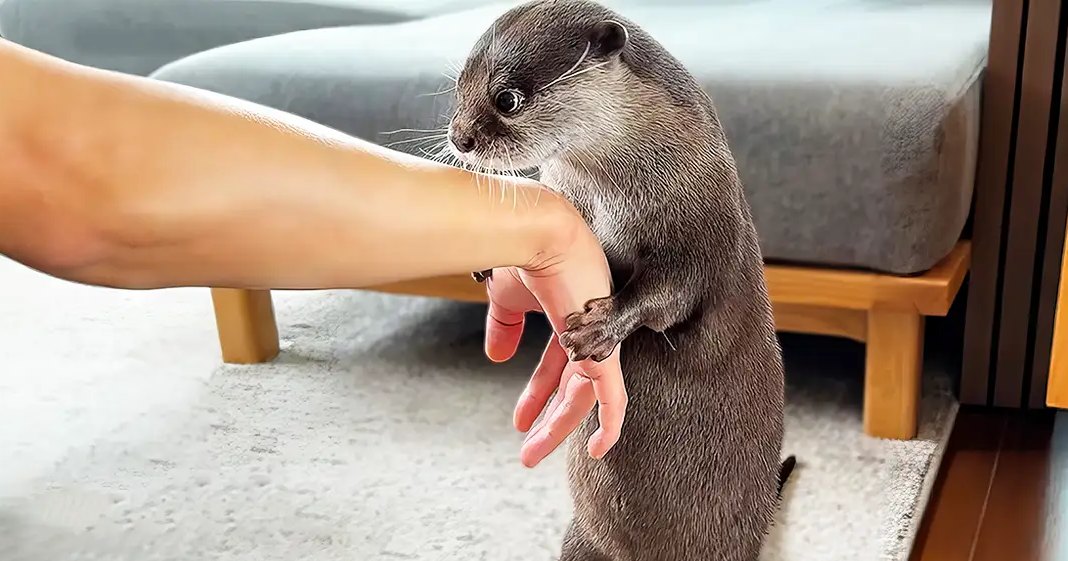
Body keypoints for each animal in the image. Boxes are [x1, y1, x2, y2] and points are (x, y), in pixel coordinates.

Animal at [449, 1, 792, 560]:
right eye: (459, 87)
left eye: (507, 99)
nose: (459, 138)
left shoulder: (700, 224)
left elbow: (671, 292)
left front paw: (601, 327)